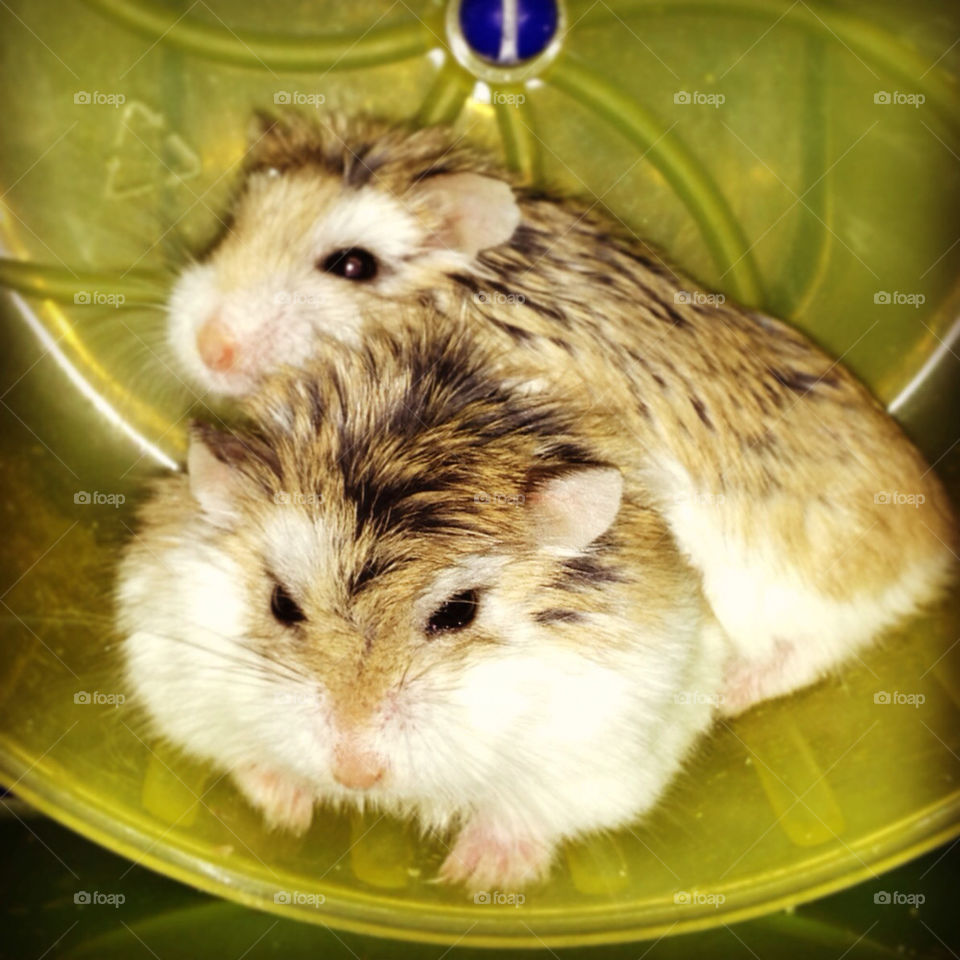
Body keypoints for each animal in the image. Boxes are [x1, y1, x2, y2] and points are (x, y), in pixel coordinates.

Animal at [117, 317, 730, 890]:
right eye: (281, 603)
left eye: (458, 611)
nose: (354, 775)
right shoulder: (174, 672)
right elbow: (245, 756)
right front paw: (286, 811)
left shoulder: (609, 751)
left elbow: (526, 814)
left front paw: (475, 875)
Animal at [166, 113, 957, 715]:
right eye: (233, 224)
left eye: (353, 265)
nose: (207, 349)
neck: (468, 289)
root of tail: (937, 538)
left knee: (816, 649)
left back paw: (731, 693)